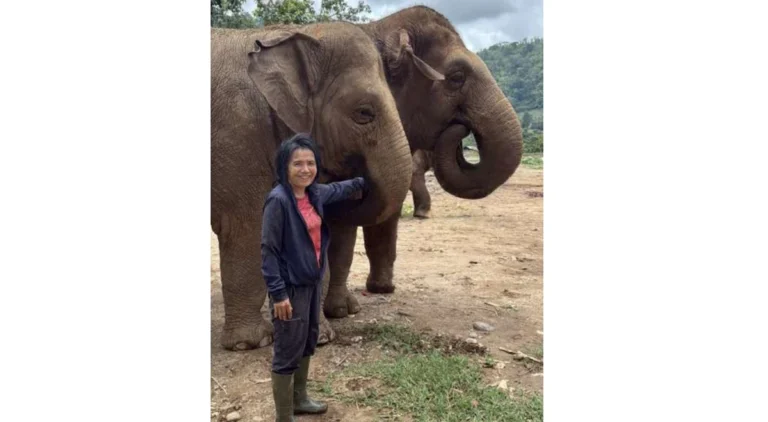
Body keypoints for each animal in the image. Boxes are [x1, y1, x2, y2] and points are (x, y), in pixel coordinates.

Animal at [211, 23, 413, 350]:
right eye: (364, 113)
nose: (361, 181)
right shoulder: (237, 138)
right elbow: (248, 227)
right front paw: (251, 343)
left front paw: (321, 336)